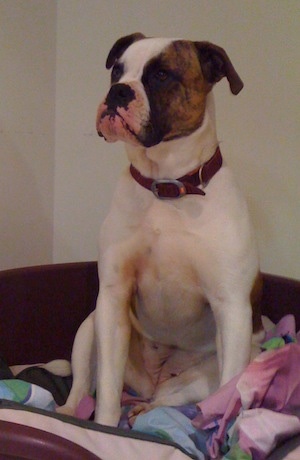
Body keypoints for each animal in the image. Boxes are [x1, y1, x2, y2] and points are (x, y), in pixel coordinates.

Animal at [59, 33, 264, 428]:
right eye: (117, 70)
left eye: (161, 75)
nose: (118, 92)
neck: (166, 186)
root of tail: (151, 381)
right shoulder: (112, 297)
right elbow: (107, 391)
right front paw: (104, 431)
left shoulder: (232, 308)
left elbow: (227, 393)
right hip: (91, 326)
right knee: (83, 385)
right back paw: (68, 411)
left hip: (201, 377)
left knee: (170, 401)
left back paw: (148, 412)